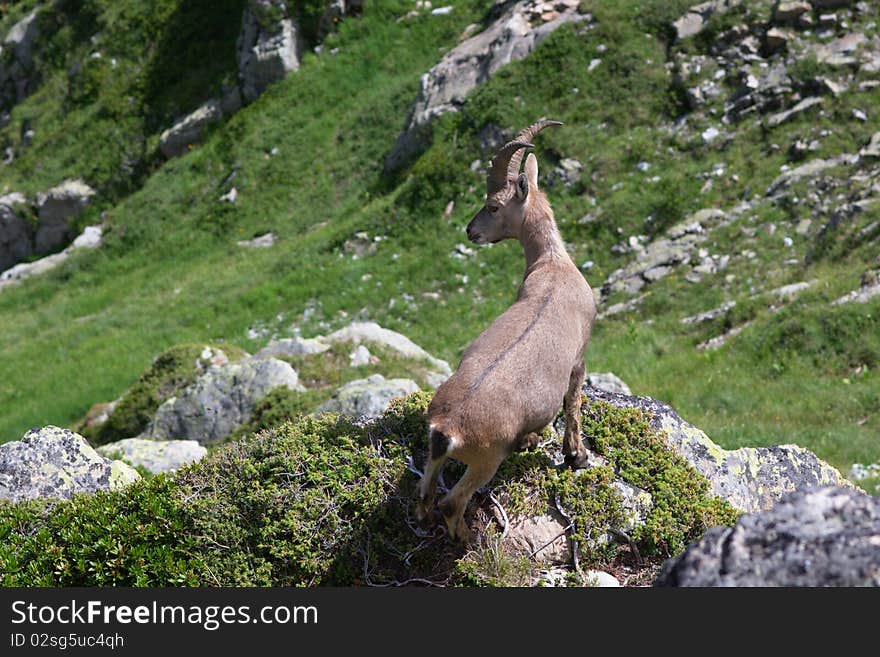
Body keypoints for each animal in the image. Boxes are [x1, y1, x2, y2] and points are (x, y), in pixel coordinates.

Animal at [414, 120, 596, 540]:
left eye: (493, 205)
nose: (470, 231)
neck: (552, 264)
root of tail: (446, 428)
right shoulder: (579, 358)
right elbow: (573, 404)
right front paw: (576, 456)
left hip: (437, 455)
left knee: (425, 494)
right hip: (486, 458)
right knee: (452, 503)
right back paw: (472, 541)